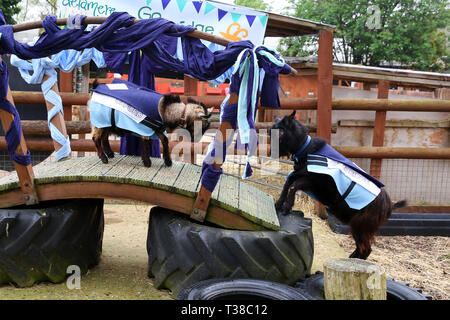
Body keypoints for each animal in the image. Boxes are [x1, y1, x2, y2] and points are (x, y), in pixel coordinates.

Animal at [270, 111, 408, 262]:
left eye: (281, 131)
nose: (272, 151)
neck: (306, 150)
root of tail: (389, 206)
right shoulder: (302, 176)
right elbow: (288, 182)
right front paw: (278, 204)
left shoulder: (314, 181)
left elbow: (293, 185)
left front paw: (286, 208)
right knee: (362, 248)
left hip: (361, 226)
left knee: (366, 249)